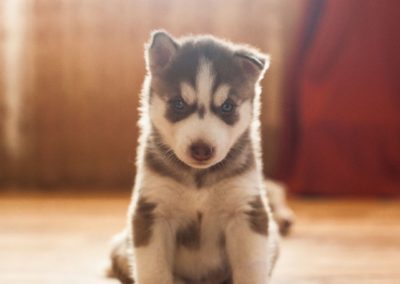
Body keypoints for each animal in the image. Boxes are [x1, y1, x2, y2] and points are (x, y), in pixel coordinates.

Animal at [109, 31, 284, 284]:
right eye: (178, 103)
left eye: (227, 106)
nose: (201, 149)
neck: (199, 179)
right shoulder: (152, 211)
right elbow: (154, 271)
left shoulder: (246, 209)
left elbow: (251, 268)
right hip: (122, 248)